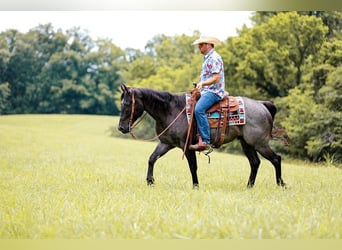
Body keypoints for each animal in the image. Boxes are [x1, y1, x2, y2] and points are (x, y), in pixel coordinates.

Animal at [118, 83, 286, 188]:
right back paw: (249, 186)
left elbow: (193, 166)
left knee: (276, 159)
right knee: (255, 162)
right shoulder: (166, 143)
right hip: (247, 143)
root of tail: (262, 105)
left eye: (127, 104)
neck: (170, 110)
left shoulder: (187, 146)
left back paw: (281, 184)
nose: (121, 127)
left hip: (260, 143)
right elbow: (152, 159)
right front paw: (150, 181)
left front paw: (196, 186)